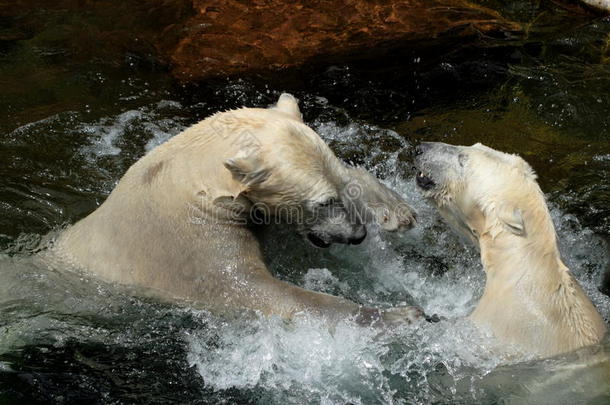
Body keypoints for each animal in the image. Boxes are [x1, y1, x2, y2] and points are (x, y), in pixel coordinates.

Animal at [47, 94, 420, 326]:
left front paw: (397, 211)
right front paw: (400, 316)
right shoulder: (191, 245)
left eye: (341, 190)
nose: (358, 235)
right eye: (323, 202)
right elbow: (255, 291)